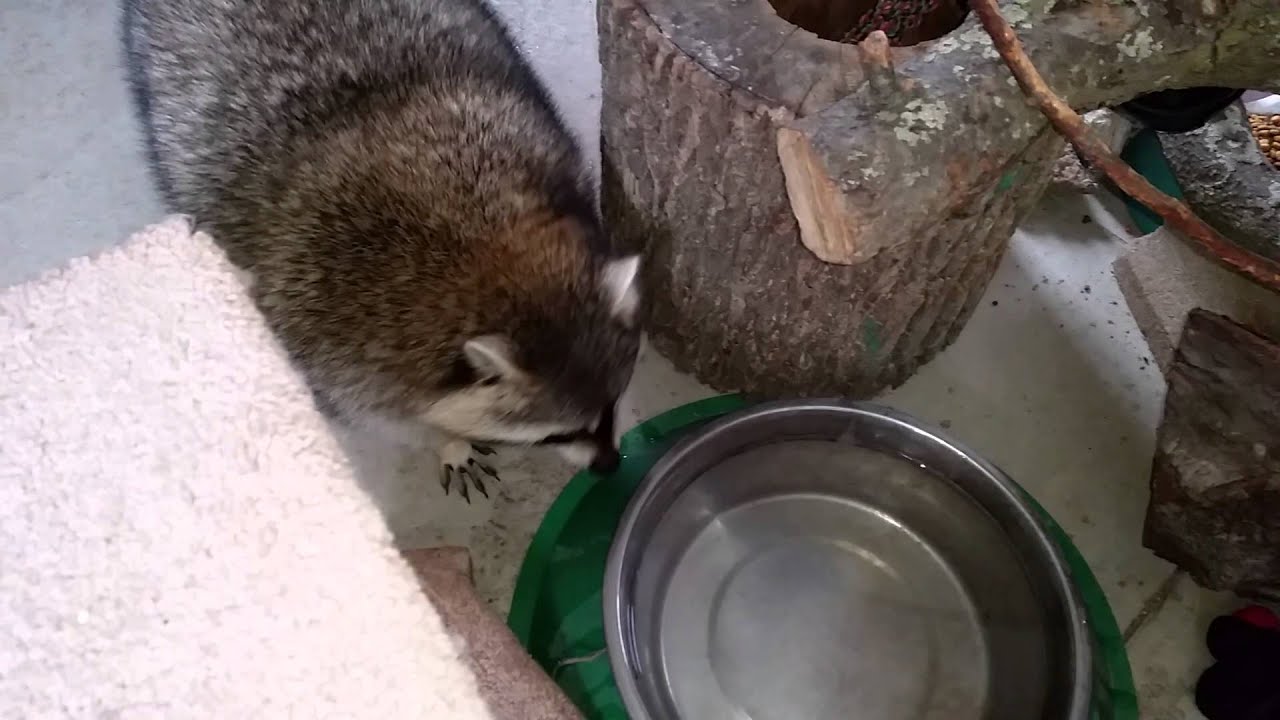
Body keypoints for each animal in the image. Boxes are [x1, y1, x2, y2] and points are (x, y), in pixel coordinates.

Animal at [122, 0, 642, 500]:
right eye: (558, 434)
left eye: (613, 402)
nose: (609, 465)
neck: (483, 250)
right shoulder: (333, 350)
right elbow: (382, 417)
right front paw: (446, 441)